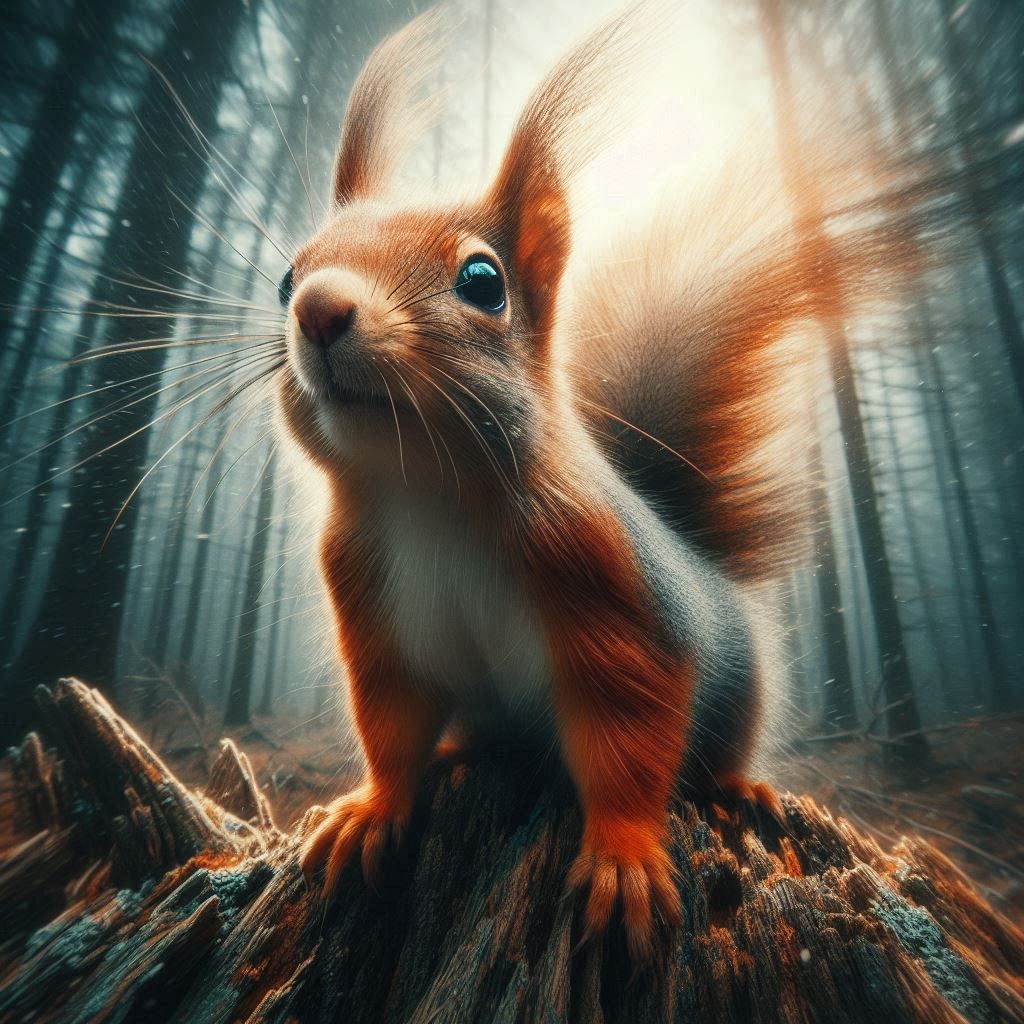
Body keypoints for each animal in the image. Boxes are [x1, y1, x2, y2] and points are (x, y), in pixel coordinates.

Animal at [279, 7, 901, 957]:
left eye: (483, 280)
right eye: (286, 275)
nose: (317, 309)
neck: (428, 496)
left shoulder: (611, 592)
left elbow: (628, 739)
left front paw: (624, 857)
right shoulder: (370, 609)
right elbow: (391, 727)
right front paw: (370, 811)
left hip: (738, 689)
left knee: (711, 751)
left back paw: (741, 788)